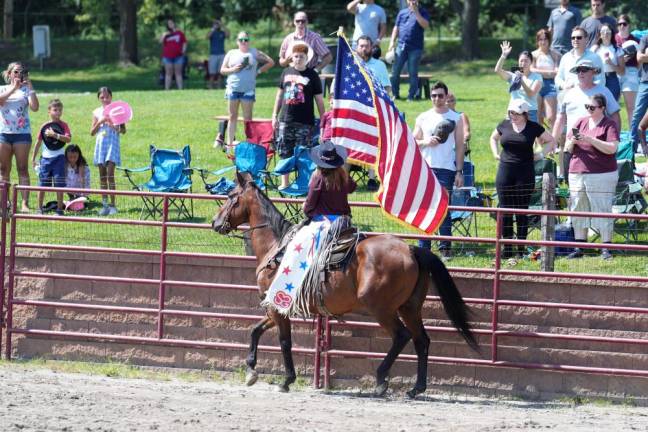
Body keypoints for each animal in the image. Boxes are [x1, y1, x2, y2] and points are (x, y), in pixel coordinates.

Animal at [213, 172, 480, 398]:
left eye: (230, 196)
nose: (216, 223)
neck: (276, 247)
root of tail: (411, 250)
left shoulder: (279, 307)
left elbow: (284, 342)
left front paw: (286, 380)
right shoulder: (274, 307)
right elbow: (255, 330)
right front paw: (251, 370)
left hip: (381, 309)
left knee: (401, 335)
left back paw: (381, 380)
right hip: (410, 308)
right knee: (421, 340)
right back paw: (416, 388)